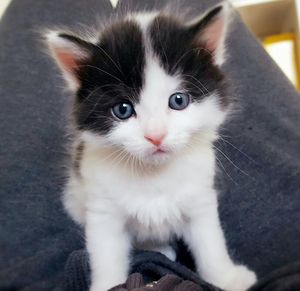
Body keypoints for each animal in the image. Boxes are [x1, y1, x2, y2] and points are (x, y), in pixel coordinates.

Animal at [45, 2, 256, 291]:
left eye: (178, 100)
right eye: (123, 109)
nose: (155, 136)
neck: (153, 175)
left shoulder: (200, 198)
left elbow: (211, 244)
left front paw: (226, 279)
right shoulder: (102, 212)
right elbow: (106, 258)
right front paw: (107, 283)